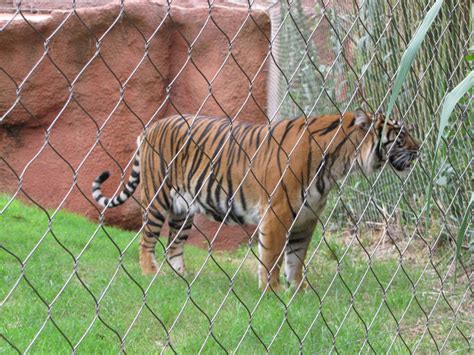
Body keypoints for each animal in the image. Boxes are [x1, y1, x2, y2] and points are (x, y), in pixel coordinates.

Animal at [92, 111, 418, 292]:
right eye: (401, 136)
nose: (420, 150)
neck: (339, 161)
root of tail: (151, 128)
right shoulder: (278, 213)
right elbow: (272, 257)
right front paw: (271, 290)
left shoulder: (306, 218)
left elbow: (296, 258)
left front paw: (299, 291)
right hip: (158, 197)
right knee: (146, 240)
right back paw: (151, 273)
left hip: (183, 210)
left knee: (173, 245)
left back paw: (182, 279)